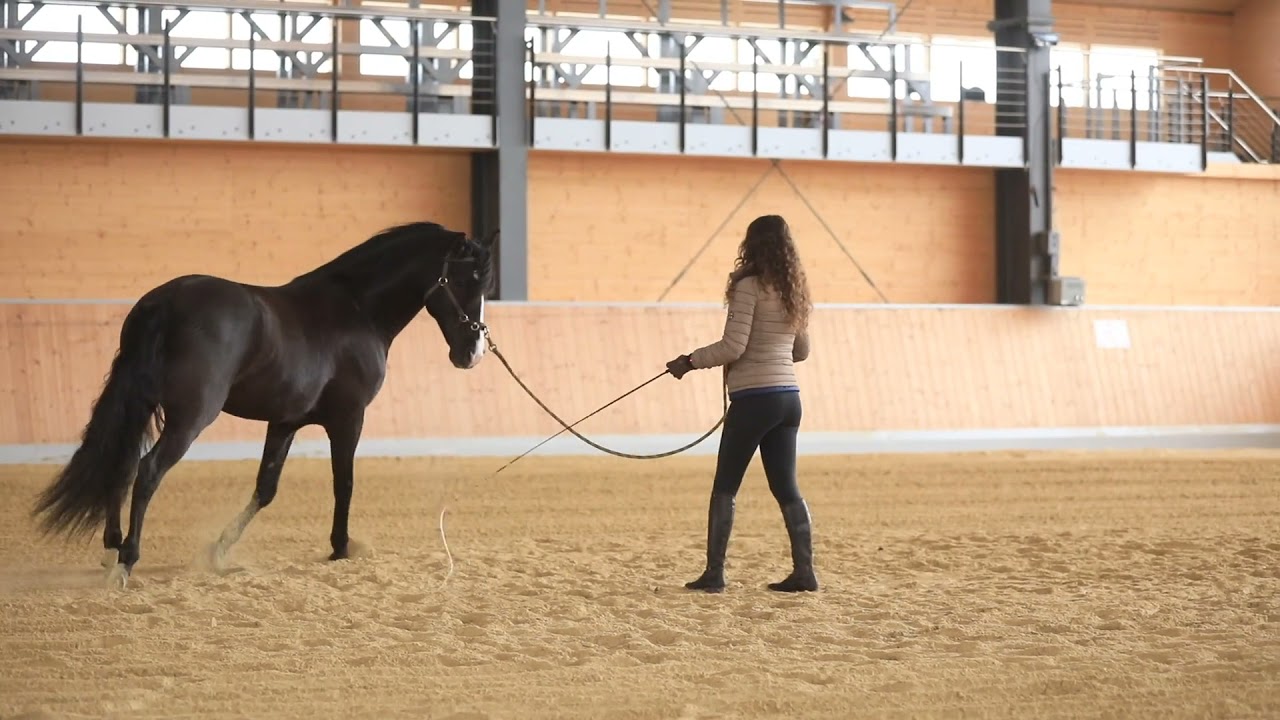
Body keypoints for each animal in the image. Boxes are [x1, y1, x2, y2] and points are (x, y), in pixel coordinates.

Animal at [30, 221, 495, 587]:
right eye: (467, 280)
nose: (472, 353)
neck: (356, 309)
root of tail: (165, 302)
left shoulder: (286, 421)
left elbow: (265, 488)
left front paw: (219, 551)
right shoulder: (349, 418)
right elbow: (343, 483)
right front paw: (341, 548)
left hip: (140, 406)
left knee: (122, 465)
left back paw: (111, 549)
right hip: (190, 418)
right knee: (147, 470)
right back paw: (127, 560)